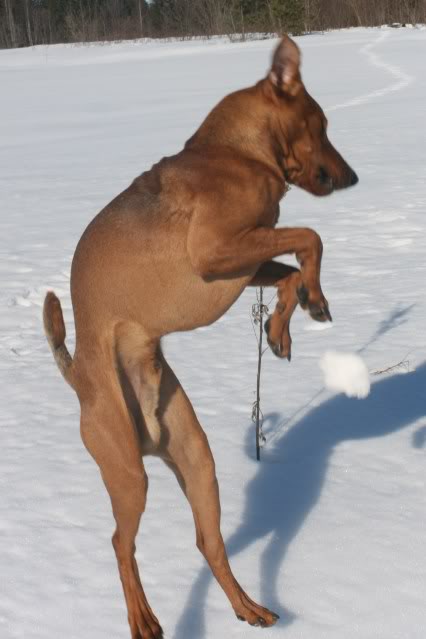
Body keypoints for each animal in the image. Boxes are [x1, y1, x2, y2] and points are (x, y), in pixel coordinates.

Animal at [43, 36, 356, 639]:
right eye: (323, 124)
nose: (352, 177)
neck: (241, 154)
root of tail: (77, 381)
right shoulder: (215, 251)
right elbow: (309, 237)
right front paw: (312, 300)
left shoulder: (244, 258)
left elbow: (289, 269)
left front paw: (283, 324)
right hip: (128, 473)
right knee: (119, 543)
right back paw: (144, 620)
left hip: (197, 463)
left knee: (207, 543)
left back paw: (248, 607)